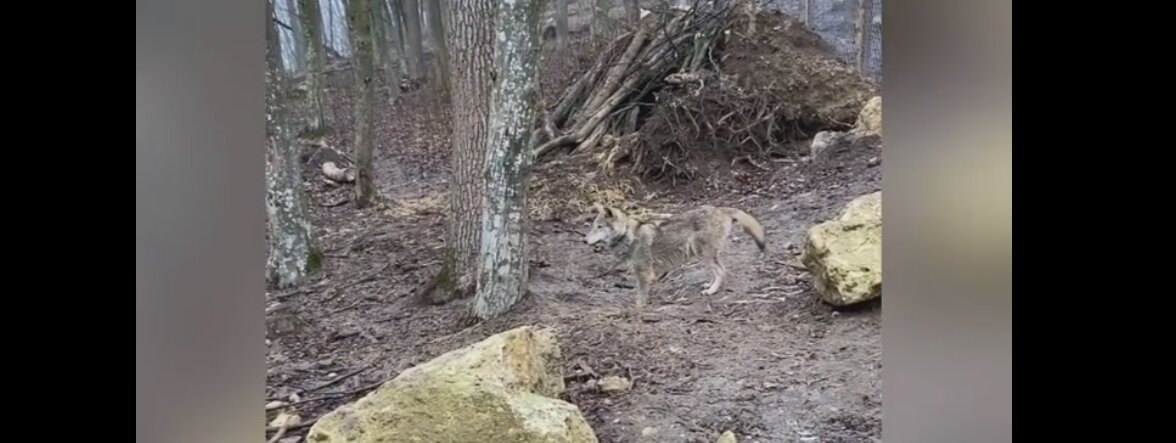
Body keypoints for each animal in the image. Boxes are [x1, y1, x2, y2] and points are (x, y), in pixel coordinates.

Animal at [583, 202, 766, 312]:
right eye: (592, 226)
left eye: (599, 227)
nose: (584, 240)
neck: (628, 235)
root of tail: (720, 209)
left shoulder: (643, 273)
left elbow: (640, 298)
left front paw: (637, 310)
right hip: (704, 255)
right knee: (718, 271)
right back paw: (709, 285)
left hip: (704, 254)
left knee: (722, 271)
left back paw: (711, 291)